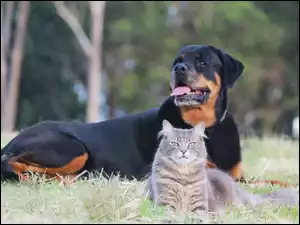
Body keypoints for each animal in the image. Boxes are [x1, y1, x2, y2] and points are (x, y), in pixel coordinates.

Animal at [0, 45, 248, 183]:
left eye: (202, 61)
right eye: (177, 62)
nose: (178, 69)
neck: (203, 123)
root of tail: (12, 140)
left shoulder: (236, 174)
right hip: (73, 148)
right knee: (9, 162)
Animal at [146, 120, 298, 215]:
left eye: (191, 144)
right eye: (175, 143)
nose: (183, 151)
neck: (183, 176)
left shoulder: (199, 205)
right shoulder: (165, 203)